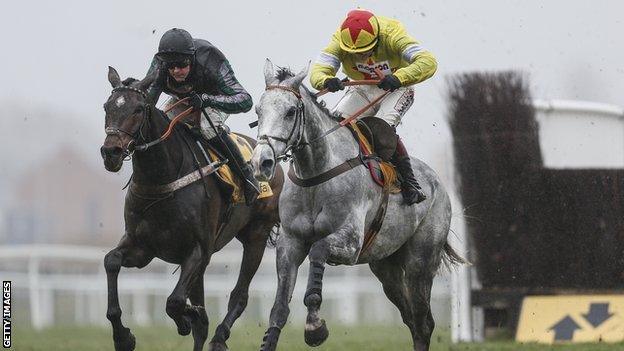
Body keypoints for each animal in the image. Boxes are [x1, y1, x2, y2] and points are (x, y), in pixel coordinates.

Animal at [100, 66, 282, 351]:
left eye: (139, 108)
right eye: (107, 106)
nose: (111, 152)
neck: (163, 179)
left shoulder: (198, 251)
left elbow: (175, 302)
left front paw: (187, 318)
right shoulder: (142, 248)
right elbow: (111, 261)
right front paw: (123, 336)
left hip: (257, 235)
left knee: (239, 296)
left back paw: (219, 336)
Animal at [250, 59, 464, 350]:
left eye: (291, 111)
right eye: (258, 110)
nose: (261, 162)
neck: (316, 175)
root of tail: (438, 183)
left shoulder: (350, 242)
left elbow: (317, 252)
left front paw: (315, 327)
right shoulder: (290, 243)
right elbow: (279, 308)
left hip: (420, 261)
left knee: (423, 322)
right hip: (385, 266)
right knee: (410, 318)